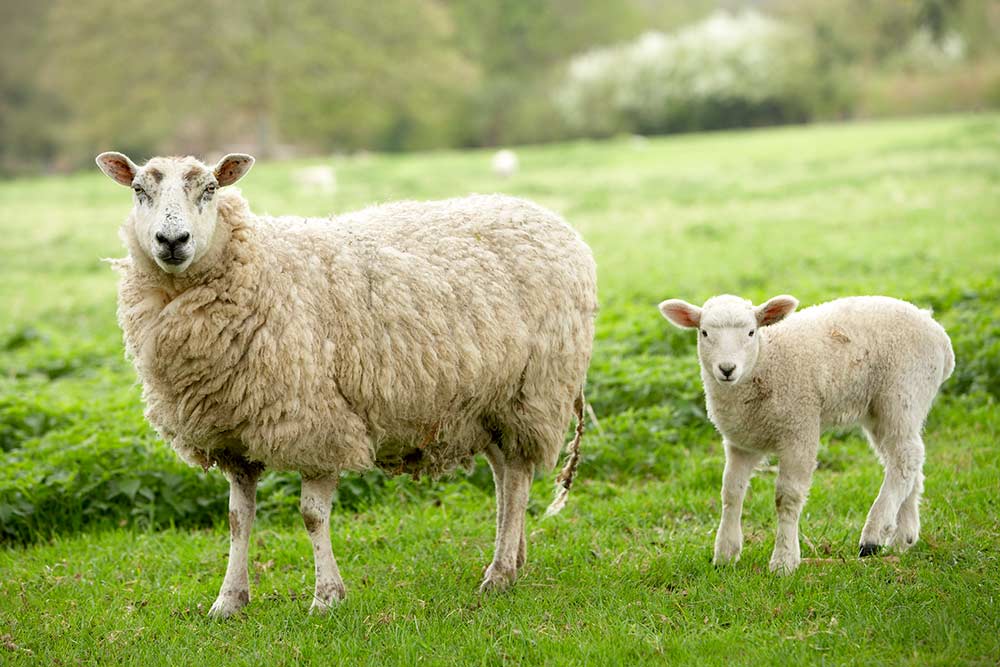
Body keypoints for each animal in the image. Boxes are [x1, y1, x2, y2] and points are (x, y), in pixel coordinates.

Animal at [95, 151, 597, 616]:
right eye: (139, 190)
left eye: (211, 189)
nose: (172, 241)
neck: (259, 265)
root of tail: (546, 216)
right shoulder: (232, 435)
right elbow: (238, 520)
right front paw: (229, 601)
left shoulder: (319, 424)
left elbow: (312, 516)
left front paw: (326, 597)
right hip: (485, 401)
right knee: (505, 476)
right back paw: (514, 555)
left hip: (532, 392)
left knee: (517, 476)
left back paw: (500, 572)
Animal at [658, 294, 954, 574]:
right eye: (704, 332)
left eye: (751, 332)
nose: (727, 369)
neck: (766, 360)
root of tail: (939, 334)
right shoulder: (741, 442)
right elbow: (730, 493)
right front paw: (725, 554)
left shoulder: (799, 427)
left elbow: (786, 497)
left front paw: (784, 561)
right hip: (880, 408)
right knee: (906, 460)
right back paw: (903, 536)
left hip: (903, 391)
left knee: (906, 457)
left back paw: (873, 535)